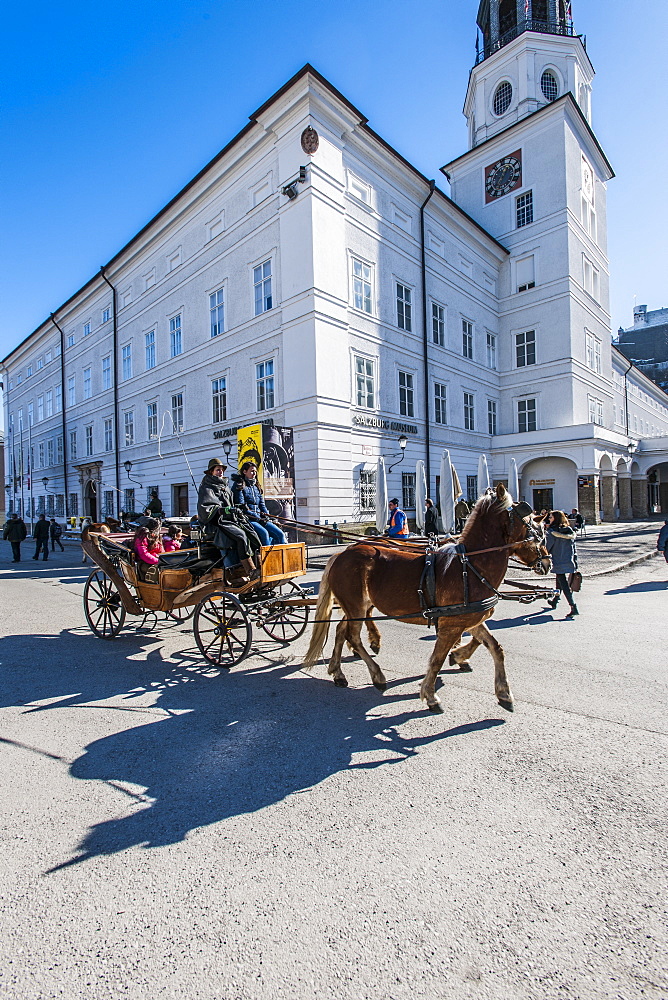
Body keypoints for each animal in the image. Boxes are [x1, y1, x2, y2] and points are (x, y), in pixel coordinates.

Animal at [306, 484, 552, 712]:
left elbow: (495, 648)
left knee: (341, 631)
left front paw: (503, 692)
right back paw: (377, 675)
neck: (470, 565)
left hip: (357, 606)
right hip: (355, 607)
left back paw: (338, 671)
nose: (547, 562)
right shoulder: (451, 625)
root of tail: (341, 554)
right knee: (352, 636)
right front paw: (431, 694)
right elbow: (437, 659)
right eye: (531, 525)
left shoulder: (471, 618)